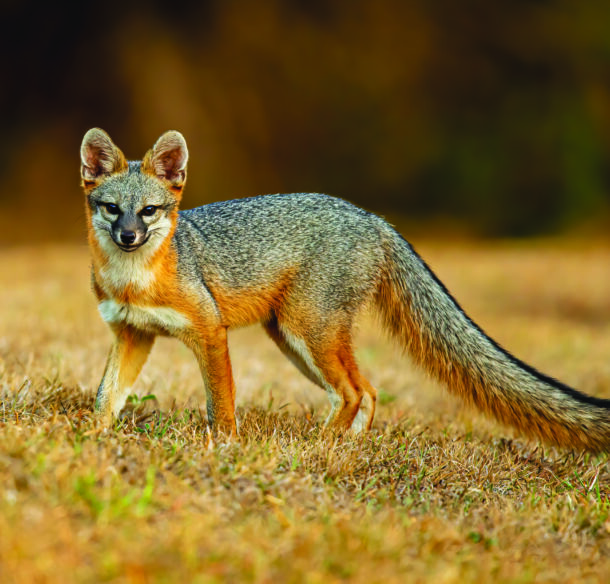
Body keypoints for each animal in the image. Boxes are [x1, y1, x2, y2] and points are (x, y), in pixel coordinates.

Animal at [81, 129, 608, 452]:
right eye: (112, 209)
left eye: (148, 211)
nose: (128, 236)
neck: (135, 280)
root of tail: (373, 218)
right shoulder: (133, 335)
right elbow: (107, 395)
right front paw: (92, 440)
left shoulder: (210, 332)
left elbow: (220, 403)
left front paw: (224, 447)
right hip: (294, 341)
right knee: (367, 391)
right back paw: (347, 449)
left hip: (307, 332)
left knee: (354, 392)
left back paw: (320, 447)